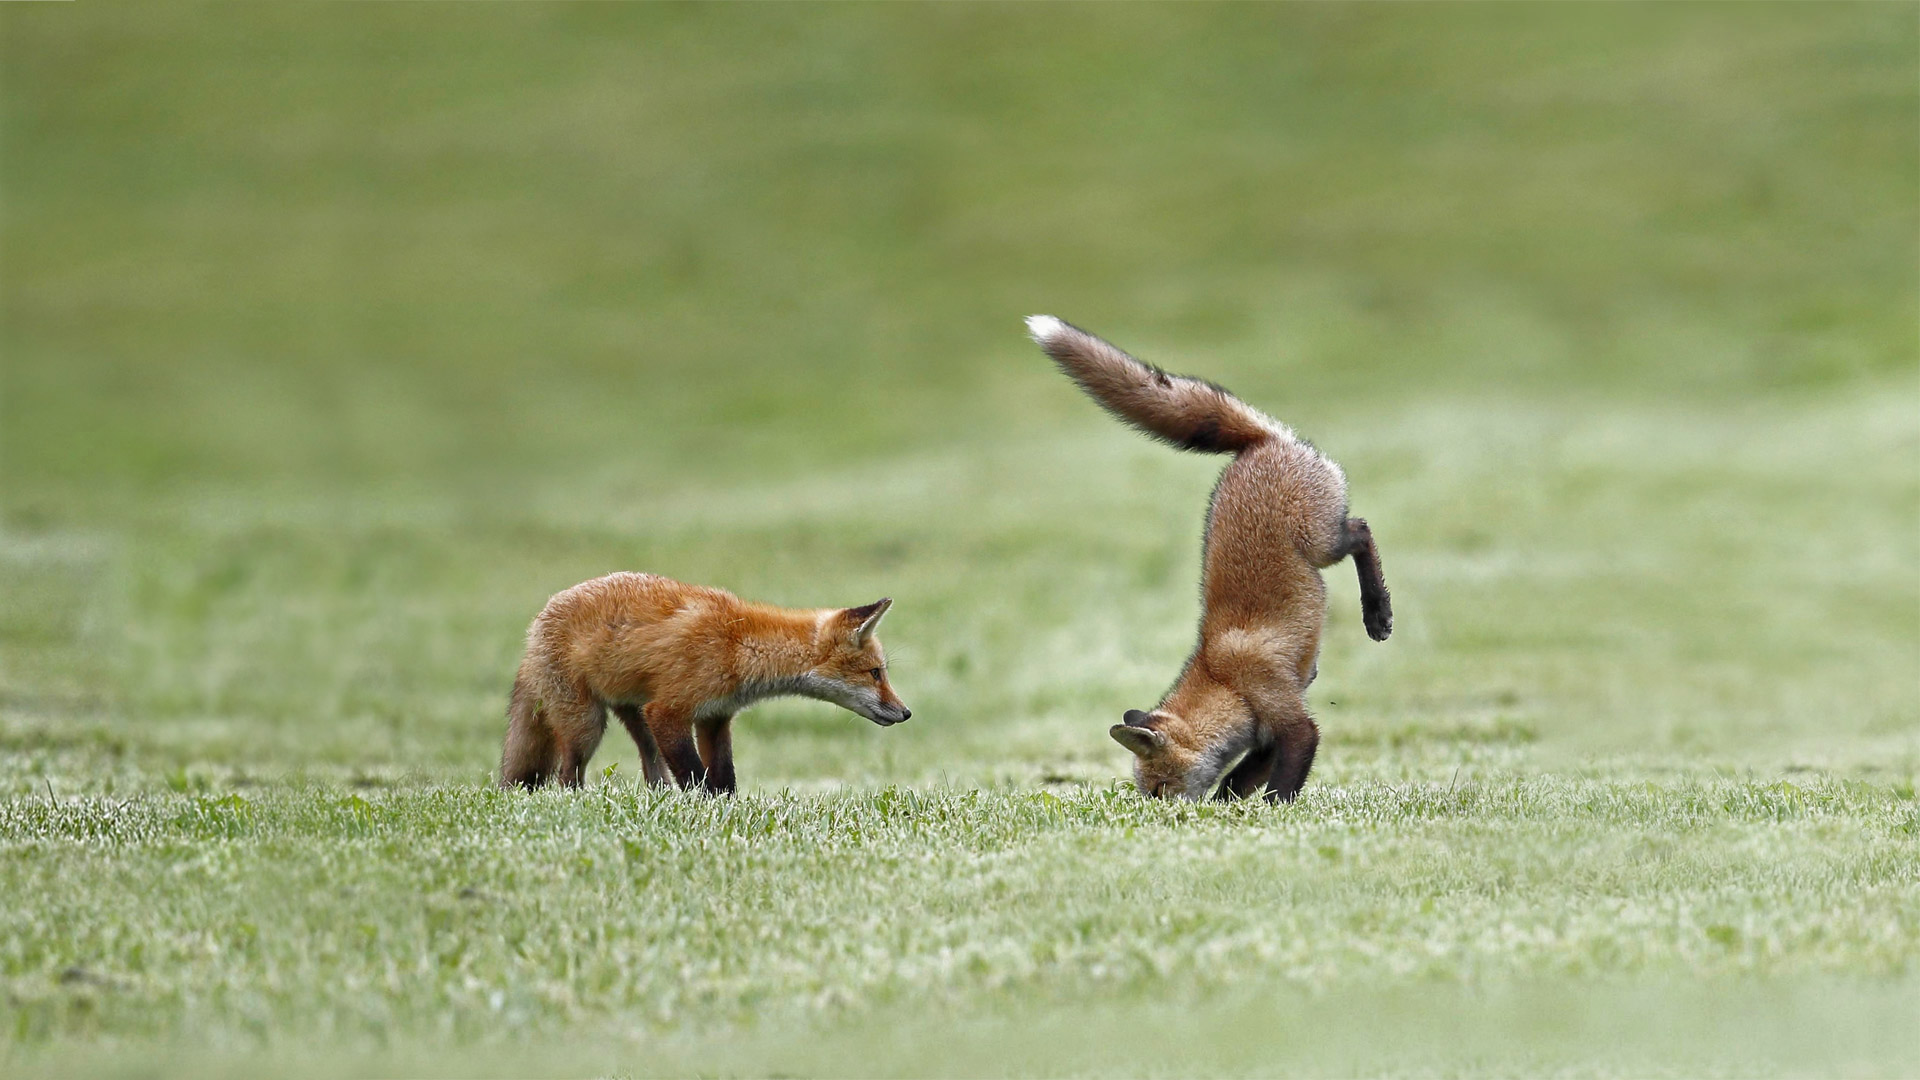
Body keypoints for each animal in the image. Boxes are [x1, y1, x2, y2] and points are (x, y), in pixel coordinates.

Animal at [499, 572, 910, 793]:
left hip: (636, 718)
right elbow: (696, 777)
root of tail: (536, 624)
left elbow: (724, 779)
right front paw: (704, 811)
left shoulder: (715, 719)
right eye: (876, 673)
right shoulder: (668, 711)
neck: (738, 646)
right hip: (587, 725)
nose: (906, 713)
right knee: (566, 774)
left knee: (652, 769)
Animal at [1027, 315, 1391, 803]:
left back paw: (1377, 613)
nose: (1158, 812)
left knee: (1361, 532)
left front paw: (1274, 813)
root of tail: (1257, 444)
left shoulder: (1288, 716)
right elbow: (1235, 782)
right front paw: (1224, 811)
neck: (1223, 681)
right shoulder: (1262, 741)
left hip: (1320, 542)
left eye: (1158, 787)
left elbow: (1282, 782)